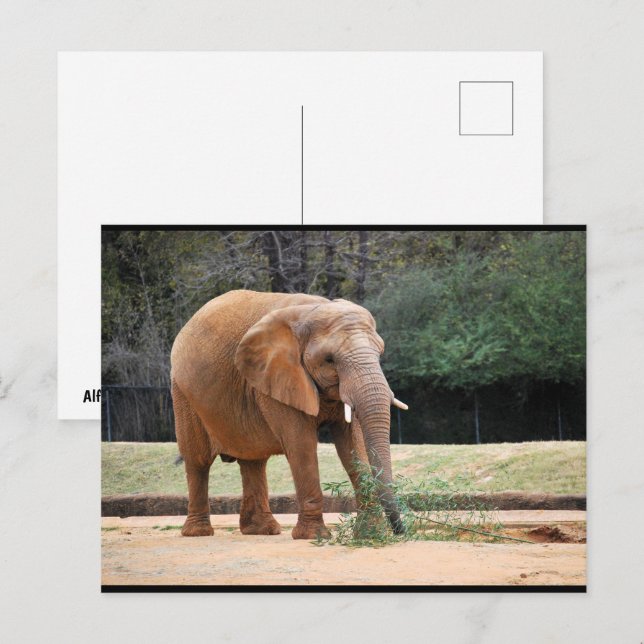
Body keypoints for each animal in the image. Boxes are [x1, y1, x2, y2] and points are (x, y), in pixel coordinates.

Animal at [170, 289, 408, 540]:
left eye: (379, 353)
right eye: (329, 360)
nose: (400, 531)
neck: (313, 309)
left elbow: (353, 443)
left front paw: (370, 534)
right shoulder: (277, 377)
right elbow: (301, 445)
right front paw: (314, 536)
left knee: (254, 461)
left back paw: (262, 531)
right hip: (183, 393)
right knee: (198, 460)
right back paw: (198, 532)